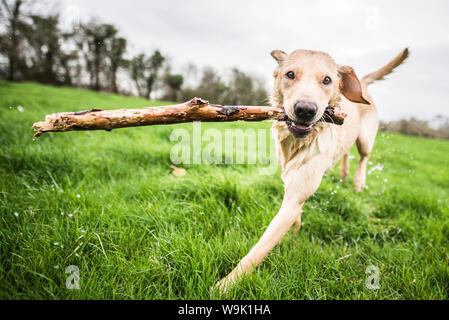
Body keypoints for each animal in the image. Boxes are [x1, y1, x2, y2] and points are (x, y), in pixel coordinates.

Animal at [215, 47, 408, 290]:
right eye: (290, 74)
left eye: (327, 80)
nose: (305, 110)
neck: (299, 142)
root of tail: (362, 82)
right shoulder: (289, 181)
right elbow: (295, 216)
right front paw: (295, 232)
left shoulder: (294, 196)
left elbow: (260, 248)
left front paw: (226, 284)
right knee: (346, 152)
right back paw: (344, 173)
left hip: (365, 139)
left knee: (363, 157)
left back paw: (358, 182)